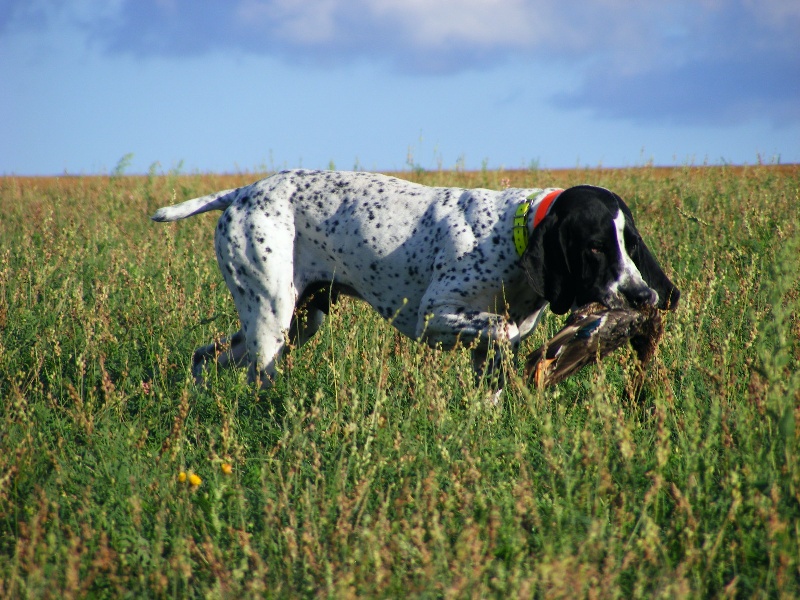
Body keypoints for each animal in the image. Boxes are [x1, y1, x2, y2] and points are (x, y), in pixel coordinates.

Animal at [153, 171, 680, 392]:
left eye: (630, 242)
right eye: (594, 247)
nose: (642, 297)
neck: (511, 232)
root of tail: (243, 192)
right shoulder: (434, 316)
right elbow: (503, 330)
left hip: (296, 321)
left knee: (204, 356)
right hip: (272, 320)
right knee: (257, 378)